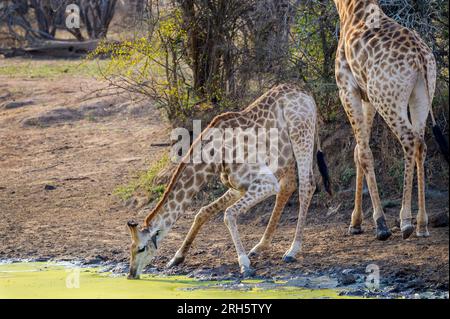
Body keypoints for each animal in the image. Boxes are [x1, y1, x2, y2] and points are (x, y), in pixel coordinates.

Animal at [125, 85, 330, 280]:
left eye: (141, 248)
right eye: (130, 248)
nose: (131, 274)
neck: (214, 158)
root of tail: (307, 94)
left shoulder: (265, 182)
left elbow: (228, 214)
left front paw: (244, 264)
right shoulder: (238, 187)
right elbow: (203, 212)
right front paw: (176, 258)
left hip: (301, 135)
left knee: (307, 186)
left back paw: (292, 250)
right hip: (286, 156)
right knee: (289, 185)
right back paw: (260, 246)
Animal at [332, 0, 448, 240]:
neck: (347, 9)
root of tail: (420, 57)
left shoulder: (347, 89)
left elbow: (364, 153)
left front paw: (380, 223)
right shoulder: (366, 96)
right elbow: (358, 151)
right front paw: (355, 222)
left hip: (388, 99)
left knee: (409, 141)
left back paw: (405, 221)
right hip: (421, 95)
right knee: (421, 144)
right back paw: (422, 224)